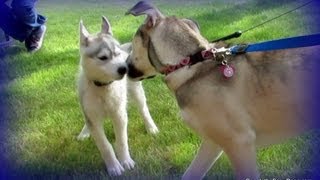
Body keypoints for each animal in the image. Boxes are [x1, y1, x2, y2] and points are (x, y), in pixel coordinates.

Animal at [76, 16, 159, 176]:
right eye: (103, 57)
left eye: (117, 54)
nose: (124, 69)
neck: (104, 87)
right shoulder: (92, 116)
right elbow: (105, 145)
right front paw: (113, 166)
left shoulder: (119, 114)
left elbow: (121, 141)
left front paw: (125, 161)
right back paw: (84, 132)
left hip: (136, 92)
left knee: (144, 110)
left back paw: (151, 127)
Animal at [125, 0, 318, 179]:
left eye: (132, 45)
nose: (124, 66)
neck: (190, 64)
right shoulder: (213, 142)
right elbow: (190, 173)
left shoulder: (239, 143)